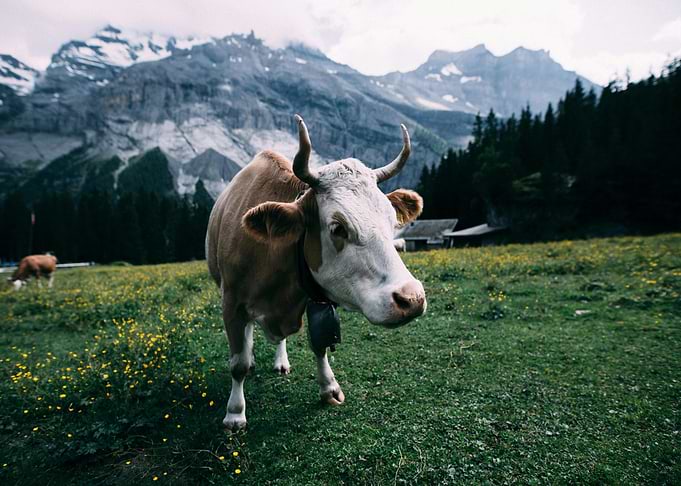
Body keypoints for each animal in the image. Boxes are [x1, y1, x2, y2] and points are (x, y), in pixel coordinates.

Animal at [206, 114, 427, 431]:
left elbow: (320, 344)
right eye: (338, 227)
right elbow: (238, 364)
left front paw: (329, 387)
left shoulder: (316, 298)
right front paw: (235, 413)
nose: (411, 299)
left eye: (391, 219)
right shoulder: (231, 303)